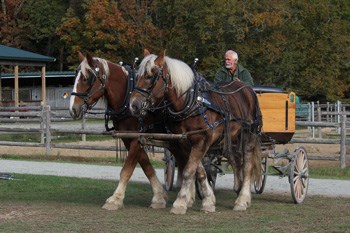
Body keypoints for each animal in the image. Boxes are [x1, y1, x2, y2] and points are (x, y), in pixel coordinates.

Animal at [69, 52, 172, 210]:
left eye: (86, 79)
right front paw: (159, 196)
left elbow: (127, 169)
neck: (127, 98)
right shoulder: (129, 139)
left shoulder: (137, 138)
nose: (72, 109)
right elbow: (146, 166)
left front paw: (115, 199)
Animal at [130, 50, 262, 214]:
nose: (133, 105)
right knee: (236, 159)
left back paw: (242, 199)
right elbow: (198, 171)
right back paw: (238, 191)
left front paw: (180, 203)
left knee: (247, 164)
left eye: (150, 76)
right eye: (138, 76)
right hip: (227, 139)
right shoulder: (184, 143)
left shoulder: (201, 141)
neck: (192, 103)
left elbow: (188, 171)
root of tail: (247, 88)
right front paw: (207, 201)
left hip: (249, 135)